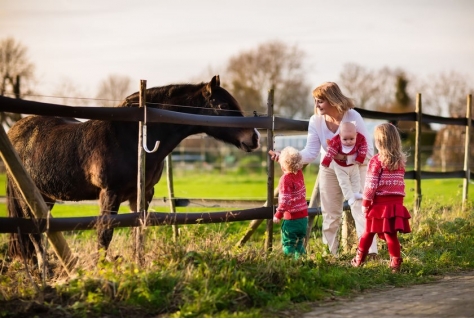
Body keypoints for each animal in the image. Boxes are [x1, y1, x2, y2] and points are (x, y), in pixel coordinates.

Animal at [6, 75, 260, 260]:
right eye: (224, 105)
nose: (255, 137)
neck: (132, 135)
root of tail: (14, 131)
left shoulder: (142, 193)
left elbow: (139, 228)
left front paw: (139, 264)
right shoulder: (110, 192)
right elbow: (104, 234)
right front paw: (102, 270)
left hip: (45, 196)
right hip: (26, 197)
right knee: (35, 235)